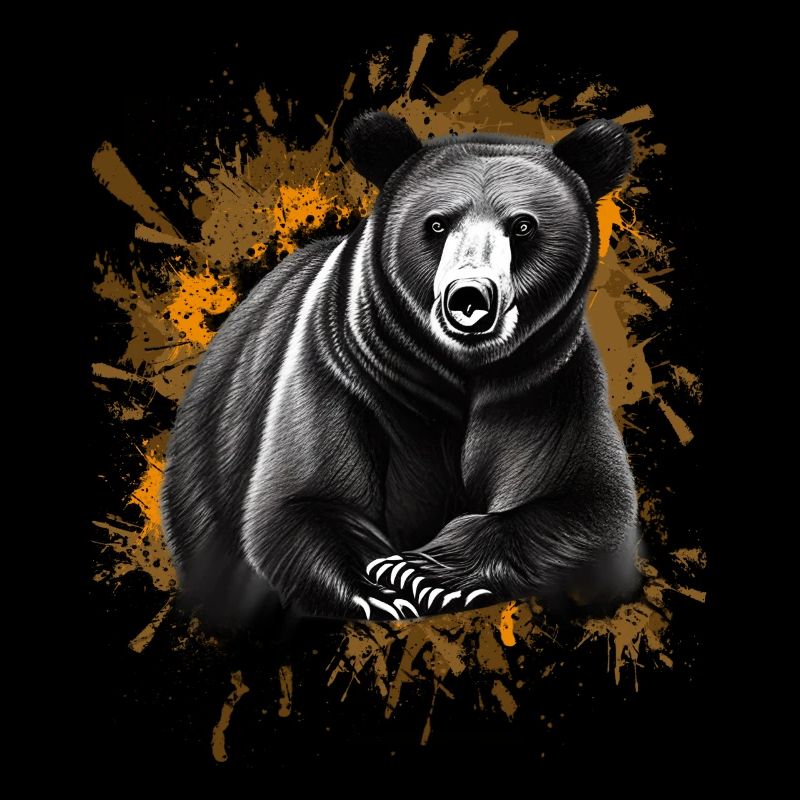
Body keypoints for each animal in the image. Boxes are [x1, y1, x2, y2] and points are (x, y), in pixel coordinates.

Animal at [161, 111, 640, 626]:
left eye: (523, 226)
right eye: (437, 224)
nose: (469, 296)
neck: (461, 370)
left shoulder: (546, 385)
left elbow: (588, 503)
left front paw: (426, 571)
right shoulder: (344, 368)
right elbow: (301, 500)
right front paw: (380, 587)